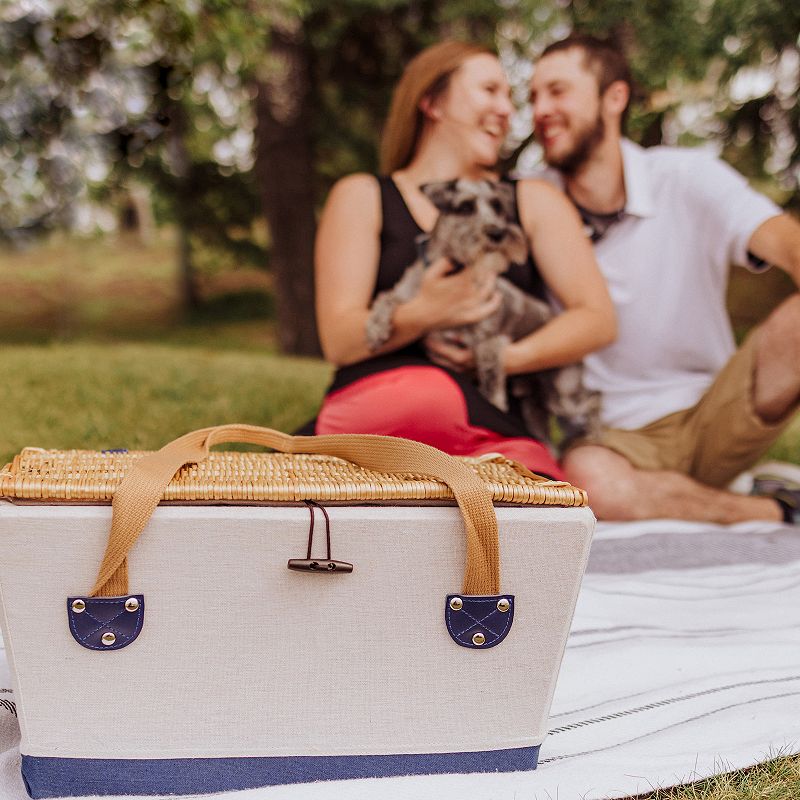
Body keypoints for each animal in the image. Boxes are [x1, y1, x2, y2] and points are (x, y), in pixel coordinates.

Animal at [364, 178, 600, 446]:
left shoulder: (490, 343)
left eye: (498, 206)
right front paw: (376, 330)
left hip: (562, 395)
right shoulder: (408, 295)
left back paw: (592, 434)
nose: (497, 233)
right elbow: (386, 298)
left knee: (595, 398)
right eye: (466, 207)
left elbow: (492, 392)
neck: (455, 271)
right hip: (536, 407)